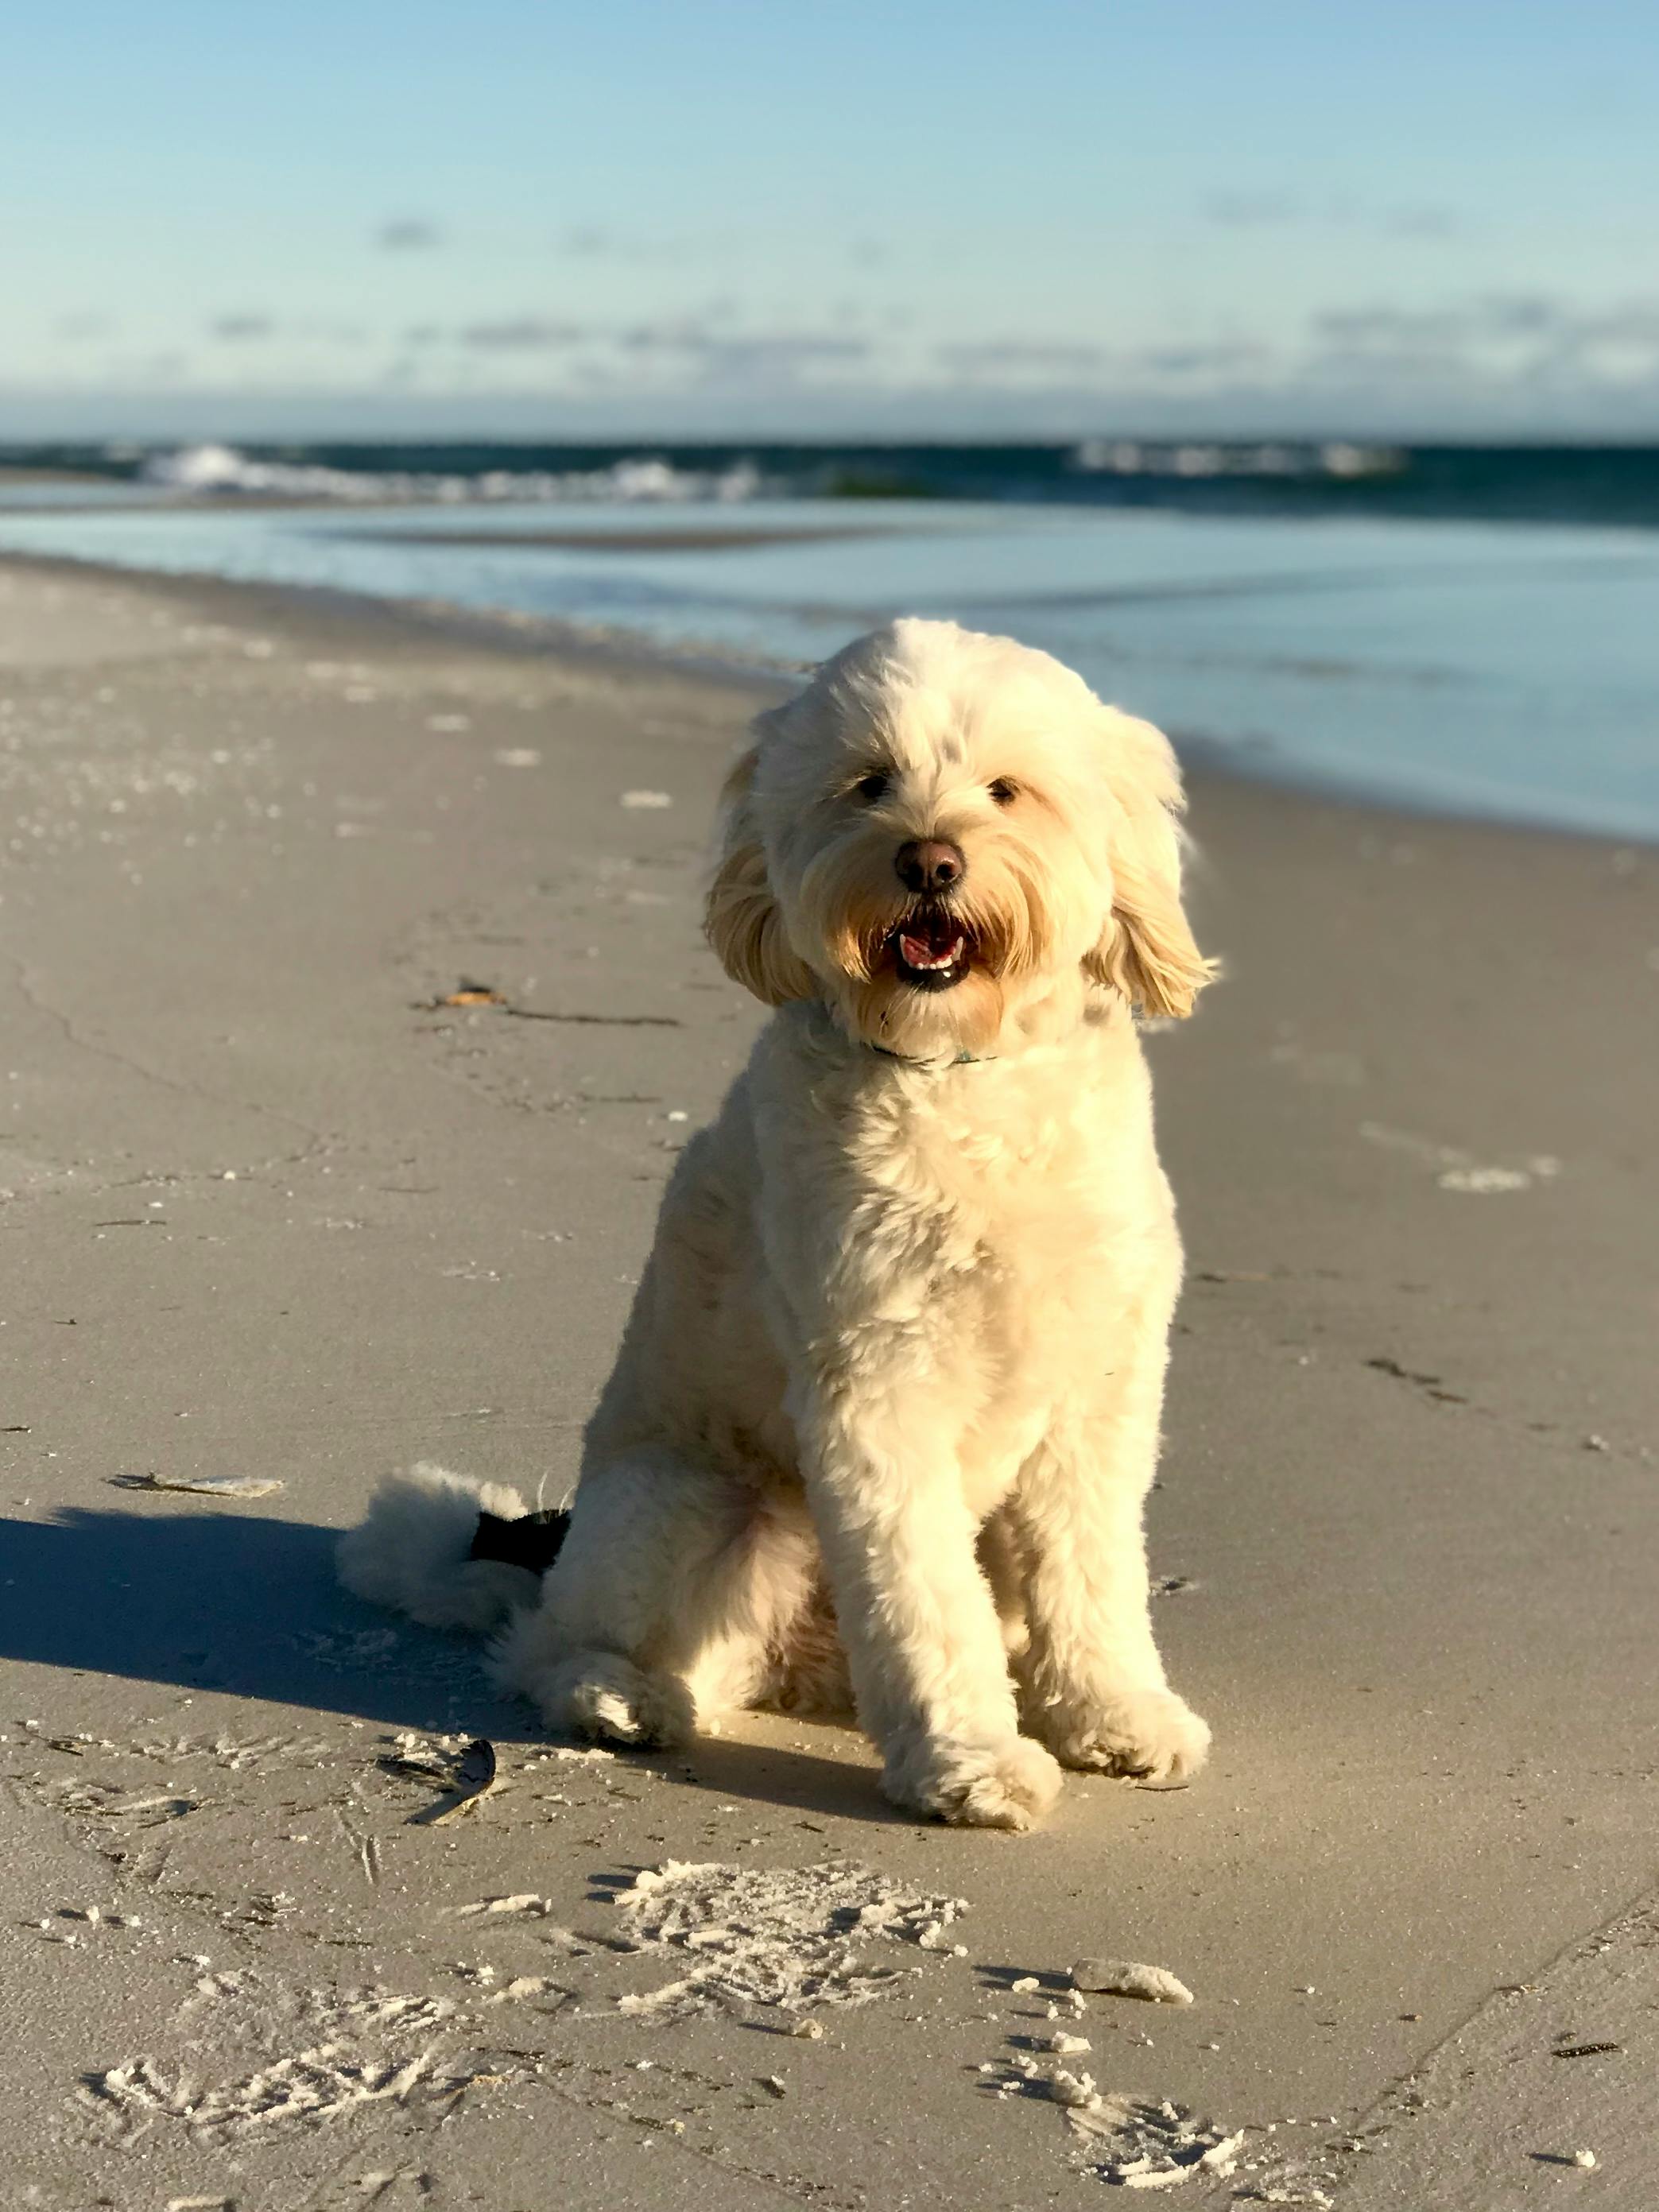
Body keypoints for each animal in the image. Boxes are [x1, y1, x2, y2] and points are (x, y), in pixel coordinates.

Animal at [340, 619, 1221, 1831]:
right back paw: (616, 1694)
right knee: (551, 1643)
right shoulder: (878, 1391)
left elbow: (1090, 1571)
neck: (959, 1077)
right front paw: (969, 1759)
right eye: (870, 783)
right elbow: (919, 1594)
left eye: (1006, 790)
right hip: (693, 1503)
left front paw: (1112, 1713)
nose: (929, 861)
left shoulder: (1096, 1390)